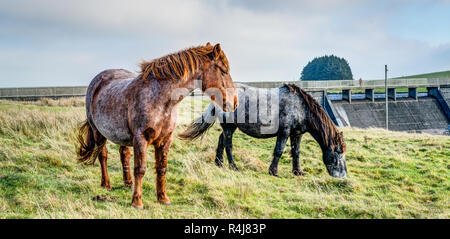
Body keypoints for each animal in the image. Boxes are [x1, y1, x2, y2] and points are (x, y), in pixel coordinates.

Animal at [77, 43, 239, 209]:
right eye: (223, 71)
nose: (235, 102)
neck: (161, 100)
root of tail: (97, 81)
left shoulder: (165, 140)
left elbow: (162, 168)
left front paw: (163, 198)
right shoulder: (140, 139)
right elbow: (140, 169)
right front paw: (137, 202)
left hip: (122, 136)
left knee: (124, 155)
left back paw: (128, 183)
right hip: (98, 132)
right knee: (102, 155)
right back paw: (106, 184)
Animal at [179, 83, 348, 177]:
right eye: (338, 153)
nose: (342, 175)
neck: (301, 107)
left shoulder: (297, 134)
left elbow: (296, 153)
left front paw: (297, 172)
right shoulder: (284, 132)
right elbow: (279, 151)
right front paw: (273, 172)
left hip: (230, 126)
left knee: (221, 140)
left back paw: (219, 163)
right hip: (229, 126)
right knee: (228, 145)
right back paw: (234, 167)